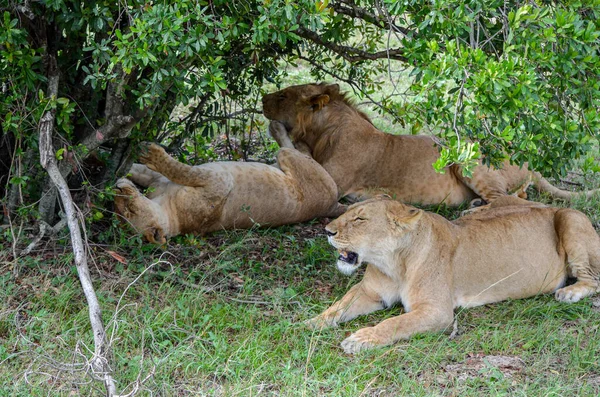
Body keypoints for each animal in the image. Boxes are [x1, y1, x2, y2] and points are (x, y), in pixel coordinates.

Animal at [115, 141, 344, 243]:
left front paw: (130, 165)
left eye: (127, 210)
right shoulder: (219, 182)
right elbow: (182, 169)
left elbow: (150, 170)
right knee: (295, 148)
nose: (116, 190)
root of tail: (331, 206)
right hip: (292, 159)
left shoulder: (158, 179)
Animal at [260, 84, 596, 207]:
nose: (262, 98)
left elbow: (295, 154)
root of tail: (527, 159)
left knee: (513, 200)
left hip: (467, 159)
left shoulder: (333, 180)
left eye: (282, 96)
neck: (322, 131)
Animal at [310, 195, 600, 352]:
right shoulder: (368, 292)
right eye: (347, 213)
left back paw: (570, 293)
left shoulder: (437, 311)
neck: (393, 264)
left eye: (360, 219)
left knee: (593, 279)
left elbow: (394, 323)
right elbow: (340, 306)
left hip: (570, 218)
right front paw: (314, 322)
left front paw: (361, 338)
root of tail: (550, 206)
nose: (328, 231)